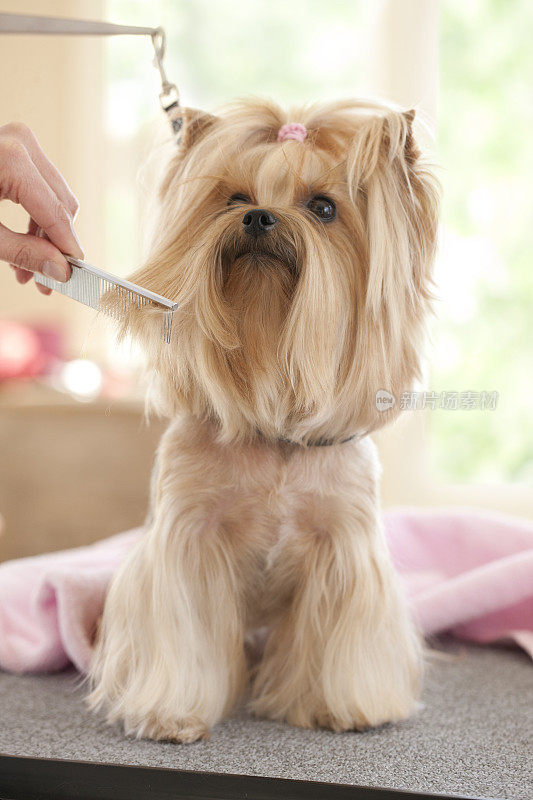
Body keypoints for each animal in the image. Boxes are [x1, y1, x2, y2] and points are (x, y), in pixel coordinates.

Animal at [86, 100, 436, 744]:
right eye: (232, 198)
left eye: (323, 207)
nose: (257, 217)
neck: (273, 434)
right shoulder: (188, 538)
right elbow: (183, 627)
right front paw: (171, 713)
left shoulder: (343, 547)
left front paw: (341, 706)